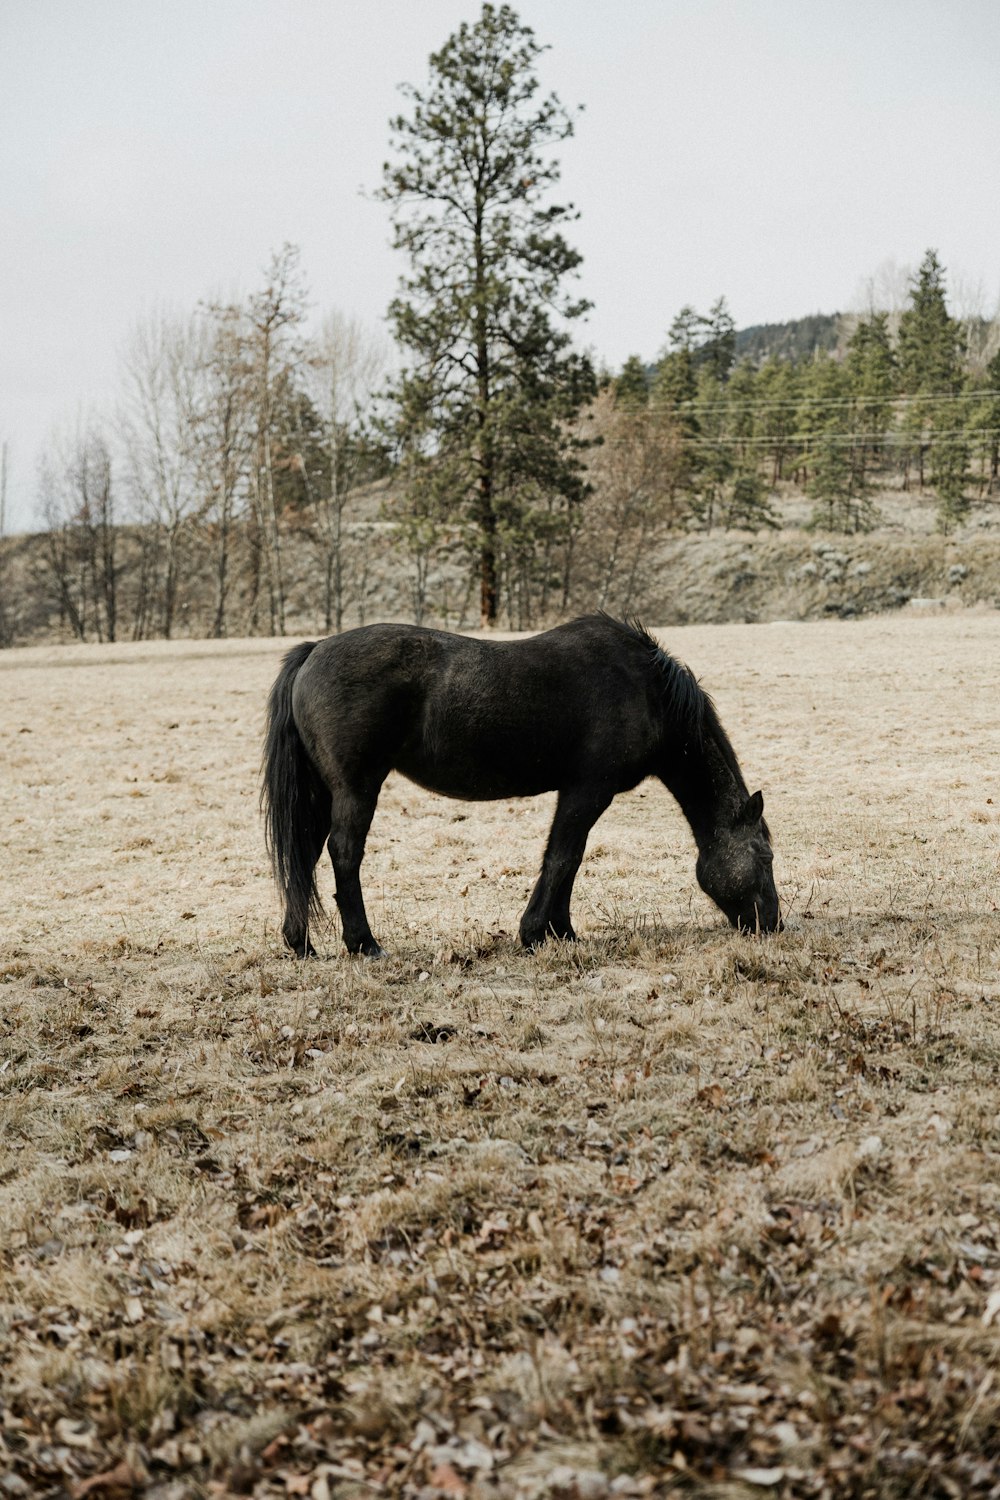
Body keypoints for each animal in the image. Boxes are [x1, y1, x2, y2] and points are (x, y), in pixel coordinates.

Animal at [260, 612, 779, 954]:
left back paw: (300, 942)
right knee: (344, 855)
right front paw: (534, 933)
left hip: (321, 792)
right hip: (356, 788)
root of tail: (315, 650)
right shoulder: (588, 790)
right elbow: (561, 858)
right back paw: (364, 943)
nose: (772, 923)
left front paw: (563, 932)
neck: (647, 690)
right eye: (765, 857)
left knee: (304, 855)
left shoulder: (580, 794)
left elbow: (570, 860)